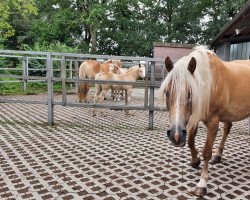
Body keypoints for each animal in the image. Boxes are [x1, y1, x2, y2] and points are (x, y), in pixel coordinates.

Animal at [158, 46, 250, 197]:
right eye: (167, 92)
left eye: (190, 93)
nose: (176, 136)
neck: (209, 83)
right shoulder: (195, 117)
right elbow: (190, 141)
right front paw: (195, 160)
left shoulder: (213, 123)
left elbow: (206, 151)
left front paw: (202, 184)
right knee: (227, 128)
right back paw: (218, 156)